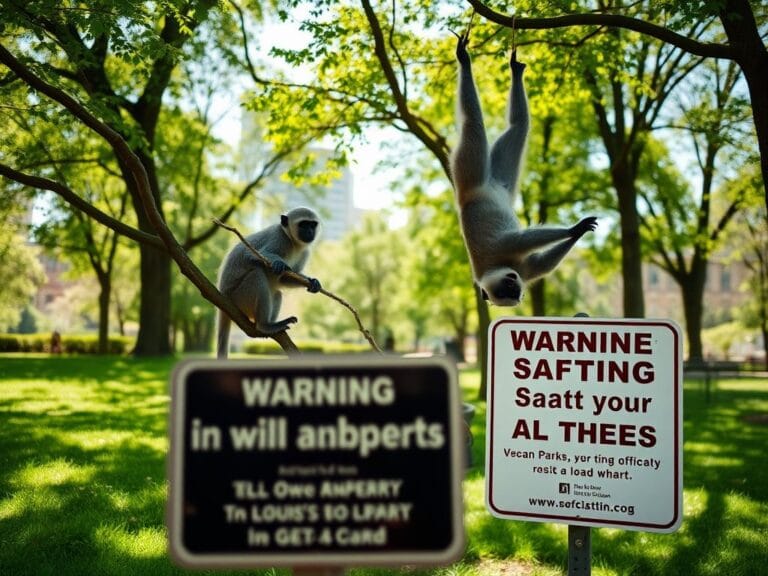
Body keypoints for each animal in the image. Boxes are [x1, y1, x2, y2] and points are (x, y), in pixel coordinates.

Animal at [216, 206, 322, 358]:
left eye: (312, 225)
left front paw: (312, 282)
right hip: (239, 298)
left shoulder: (305, 252)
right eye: (303, 224)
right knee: (257, 275)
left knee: (277, 293)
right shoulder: (279, 238)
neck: (293, 242)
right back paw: (265, 326)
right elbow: (250, 254)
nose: (309, 232)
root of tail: (224, 295)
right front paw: (277, 262)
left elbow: (284, 279)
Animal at [451, 32, 597, 306]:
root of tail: (466, 195)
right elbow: (540, 262)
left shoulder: (501, 250)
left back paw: (466, 62)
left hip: (469, 172)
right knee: (518, 125)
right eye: (508, 293)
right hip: (500, 182)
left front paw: (573, 229)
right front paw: (578, 231)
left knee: (472, 123)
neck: (497, 265)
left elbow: (520, 240)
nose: (517, 295)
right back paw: (515, 70)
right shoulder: (522, 267)